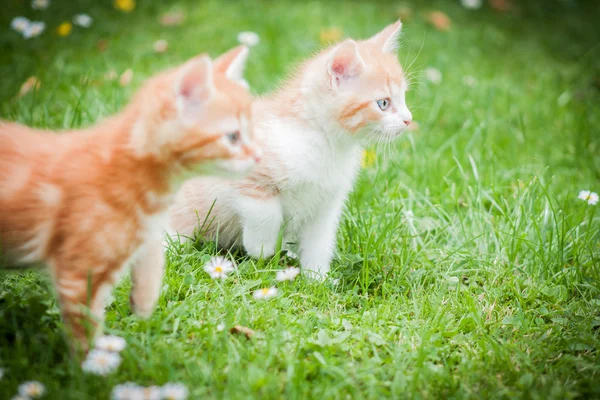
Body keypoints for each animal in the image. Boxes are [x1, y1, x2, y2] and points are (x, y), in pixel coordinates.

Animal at [0, 44, 260, 350]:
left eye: (252, 132)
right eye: (232, 137)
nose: (259, 156)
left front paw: (144, 298)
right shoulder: (78, 272)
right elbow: (85, 330)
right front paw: (95, 361)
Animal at [169, 21, 412, 278]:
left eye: (403, 98)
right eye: (384, 103)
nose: (409, 119)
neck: (325, 143)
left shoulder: (326, 204)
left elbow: (320, 241)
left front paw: (317, 278)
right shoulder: (247, 174)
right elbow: (266, 212)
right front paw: (261, 246)